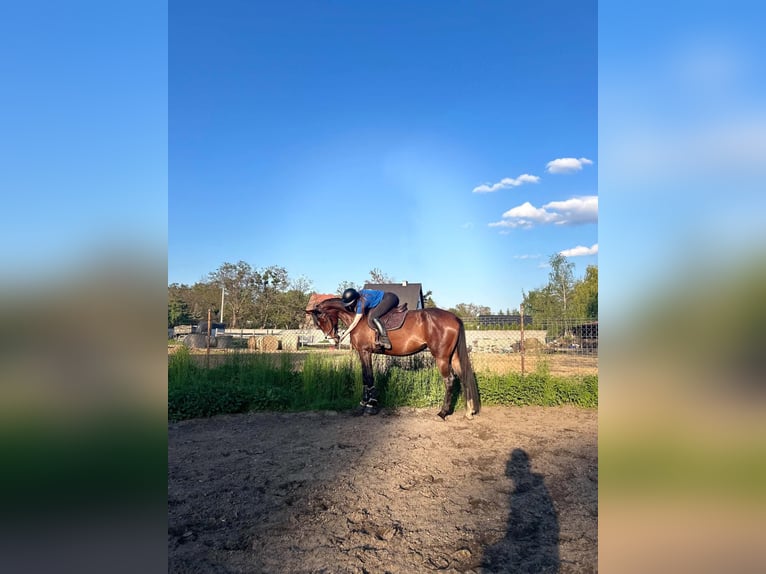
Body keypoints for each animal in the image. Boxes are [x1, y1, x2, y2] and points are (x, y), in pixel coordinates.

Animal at [306, 298, 480, 420]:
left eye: (321, 319)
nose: (333, 339)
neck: (357, 318)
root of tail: (455, 318)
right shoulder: (365, 353)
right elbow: (366, 378)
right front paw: (364, 404)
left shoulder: (365, 352)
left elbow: (368, 378)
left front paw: (370, 406)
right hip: (454, 357)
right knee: (464, 378)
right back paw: (469, 411)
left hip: (442, 357)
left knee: (449, 380)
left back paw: (443, 412)